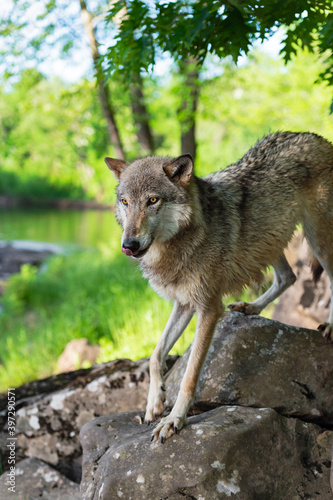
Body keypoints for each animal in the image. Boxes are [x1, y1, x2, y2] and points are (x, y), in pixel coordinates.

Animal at [104, 132, 332, 442]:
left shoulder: (209, 308)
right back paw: (250, 308)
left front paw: (175, 419)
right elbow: (155, 355)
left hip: (316, 238)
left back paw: (329, 325)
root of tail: (316, 137)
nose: (128, 245)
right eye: (126, 202)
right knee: (289, 277)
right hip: (269, 240)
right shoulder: (184, 303)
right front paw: (154, 404)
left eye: (152, 200)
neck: (182, 241)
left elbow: (189, 375)